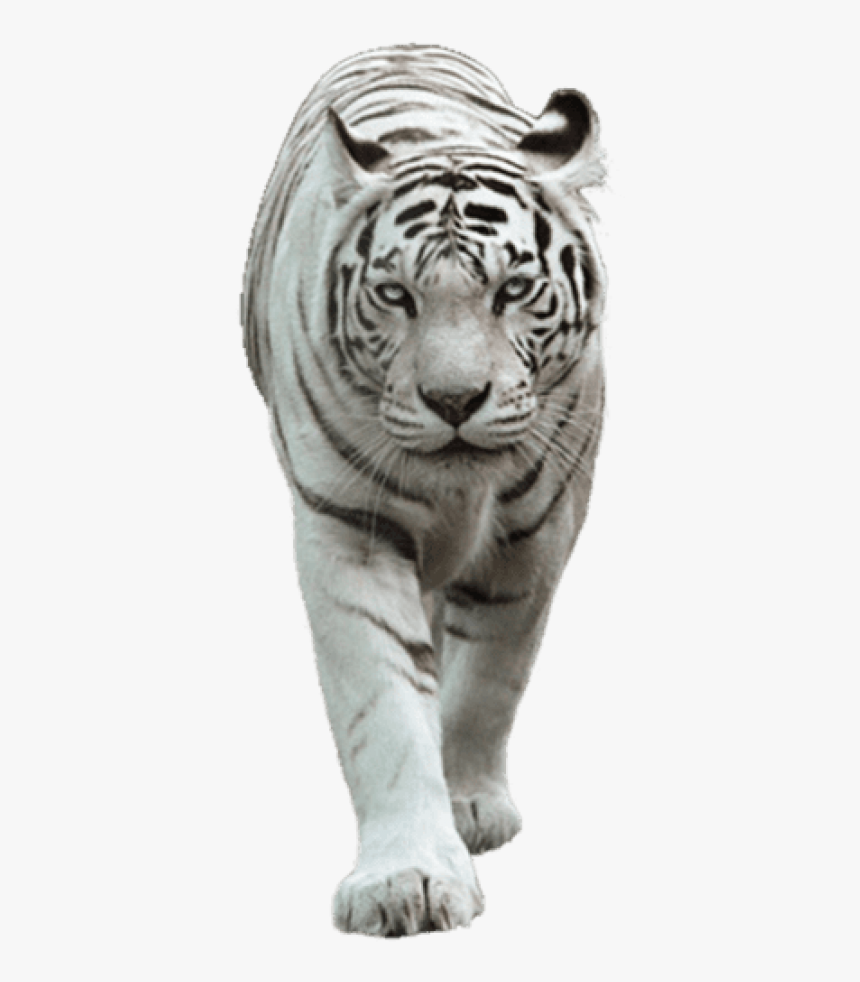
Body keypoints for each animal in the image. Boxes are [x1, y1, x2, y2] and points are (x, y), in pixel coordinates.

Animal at [241, 44, 607, 937]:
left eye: (513, 291)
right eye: (395, 295)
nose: (452, 400)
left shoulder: (537, 530)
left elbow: (487, 680)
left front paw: (469, 805)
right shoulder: (347, 525)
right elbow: (384, 702)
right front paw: (407, 878)